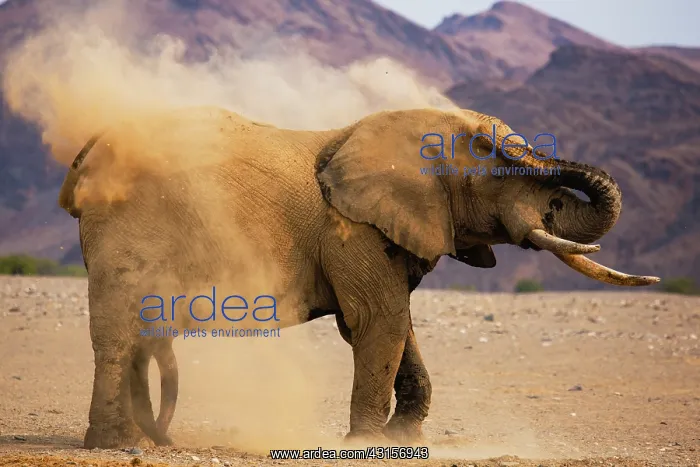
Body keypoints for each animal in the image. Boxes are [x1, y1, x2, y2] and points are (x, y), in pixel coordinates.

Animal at [58, 105, 659, 449]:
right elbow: (377, 320)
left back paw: (142, 440)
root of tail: (89, 148)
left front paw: (402, 437)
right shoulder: (350, 227)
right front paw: (367, 444)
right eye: (494, 169)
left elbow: (394, 322)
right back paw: (116, 445)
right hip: (127, 222)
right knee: (118, 330)